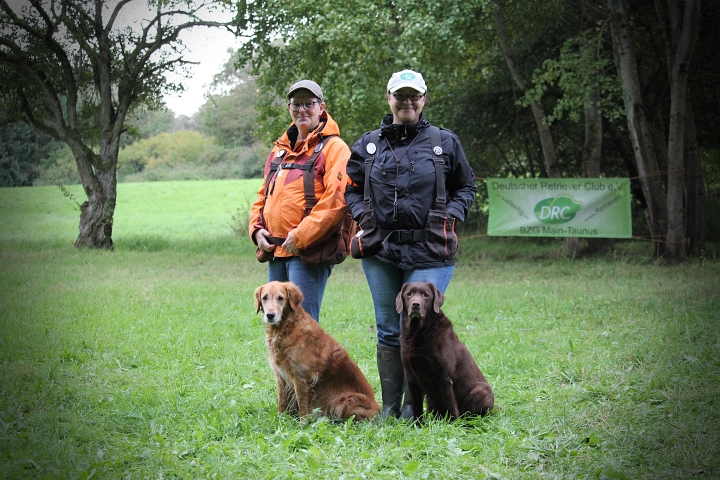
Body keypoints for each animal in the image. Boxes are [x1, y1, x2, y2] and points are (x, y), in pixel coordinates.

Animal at [254, 281, 380, 420]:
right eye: (264, 297)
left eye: (280, 298)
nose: (270, 315)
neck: (288, 327)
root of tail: (379, 408)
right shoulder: (280, 376)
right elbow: (282, 402)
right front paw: (281, 420)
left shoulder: (301, 378)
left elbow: (303, 406)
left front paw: (302, 423)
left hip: (344, 402)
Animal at [396, 281, 494, 420]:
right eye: (409, 294)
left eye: (426, 295)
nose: (416, 304)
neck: (418, 332)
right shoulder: (411, 377)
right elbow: (416, 407)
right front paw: (417, 423)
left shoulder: (444, 377)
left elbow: (451, 405)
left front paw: (453, 424)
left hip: (481, 390)